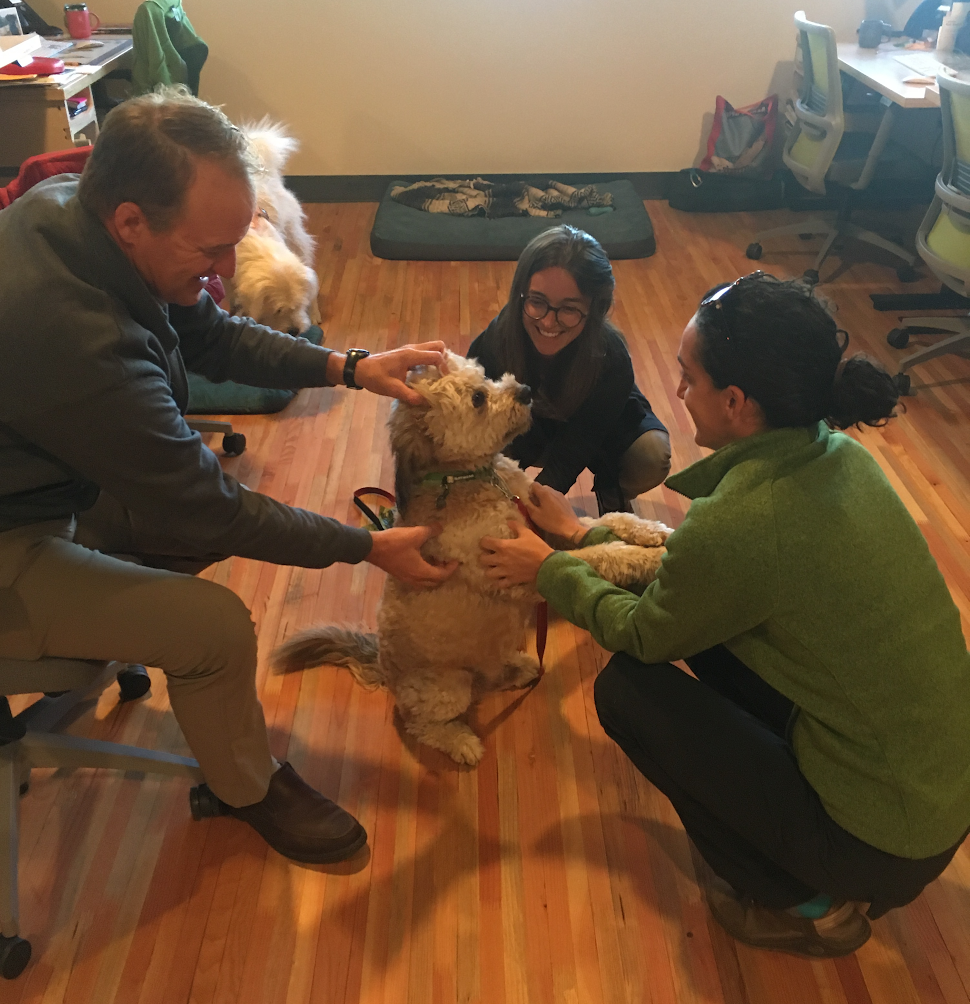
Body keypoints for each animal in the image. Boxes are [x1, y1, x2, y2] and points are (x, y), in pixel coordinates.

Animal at [269, 351, 670, 759]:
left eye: (485, 375)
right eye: (477, 399)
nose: (525, 390)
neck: (469, 478)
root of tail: (381, 665)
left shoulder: (543, 527)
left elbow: (605, 522)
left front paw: (654, 533)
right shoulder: (518, 572)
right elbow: (598, 557)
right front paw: (650, 559)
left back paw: (519, 669)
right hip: (448, 689)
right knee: (419, 725)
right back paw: (461, 742)